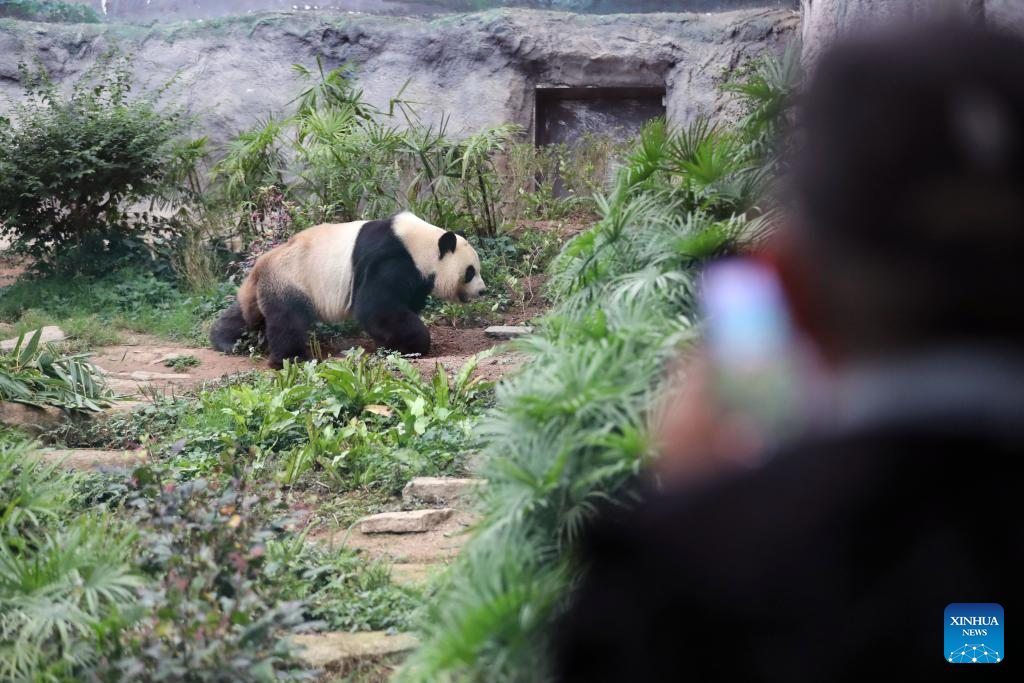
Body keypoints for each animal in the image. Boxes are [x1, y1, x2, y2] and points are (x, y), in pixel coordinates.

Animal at [208, 211, 487, 368]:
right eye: (470, 271)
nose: (483, 291)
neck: (420, 244)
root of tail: (260, 266)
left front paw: (390, 343)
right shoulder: (392, 260)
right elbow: (376, 308)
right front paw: (412, 345)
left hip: (266, 288)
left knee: (246, 316)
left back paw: (225, 340)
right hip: (291, 279)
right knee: (288, 320)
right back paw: (291, 358)